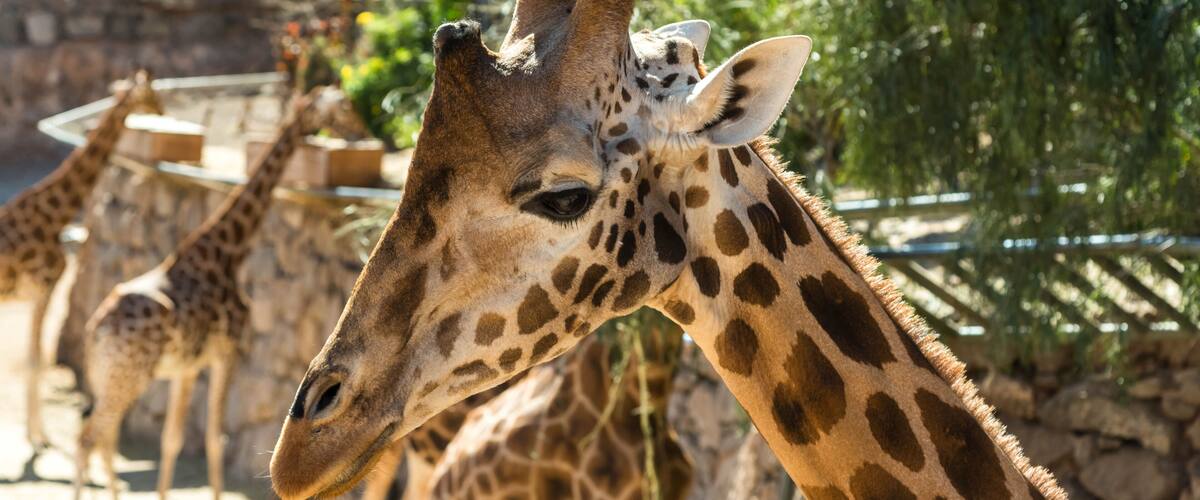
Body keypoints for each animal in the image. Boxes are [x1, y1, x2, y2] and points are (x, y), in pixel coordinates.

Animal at [0, 70, 162, 449]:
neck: (55, 216)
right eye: (151, 93)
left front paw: (34, 434)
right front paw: (39, 437)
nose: (161, 110)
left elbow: (32, 360)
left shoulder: (36, 294)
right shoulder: (45, 288)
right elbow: (34, 362)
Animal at [73, 86, 366, 500]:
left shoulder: (188, 366)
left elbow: (173, 438)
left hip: (107, 376)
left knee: (102, 438)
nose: (361, 130)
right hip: (128, 376)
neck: (228, 250)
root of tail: (95, 331)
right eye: (341, 106)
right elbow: (214, 440)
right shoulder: (227, 353)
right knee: (88, 438)